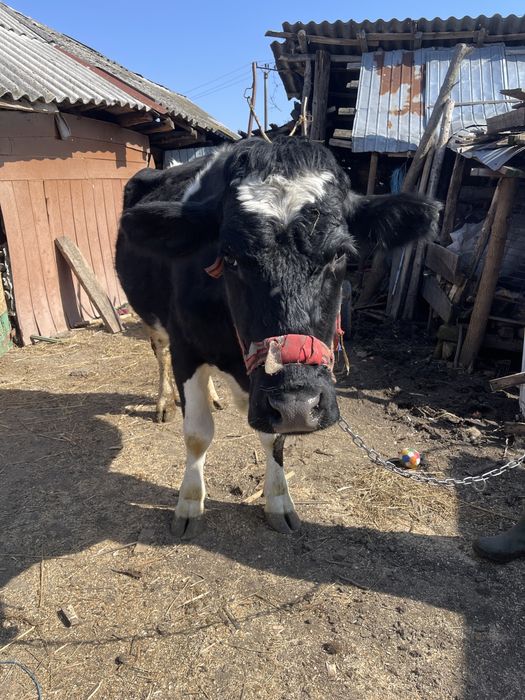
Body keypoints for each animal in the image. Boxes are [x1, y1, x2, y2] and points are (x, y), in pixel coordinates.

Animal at [117, 136, 440, 539]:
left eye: (341, 256)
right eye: (230, 257)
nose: (297, 406)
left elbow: (274, 439)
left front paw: (278, 500)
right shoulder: (186, 349)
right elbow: (197, 433)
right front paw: (189, 503)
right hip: (154, 321)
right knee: (159, 353)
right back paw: (164, 401)